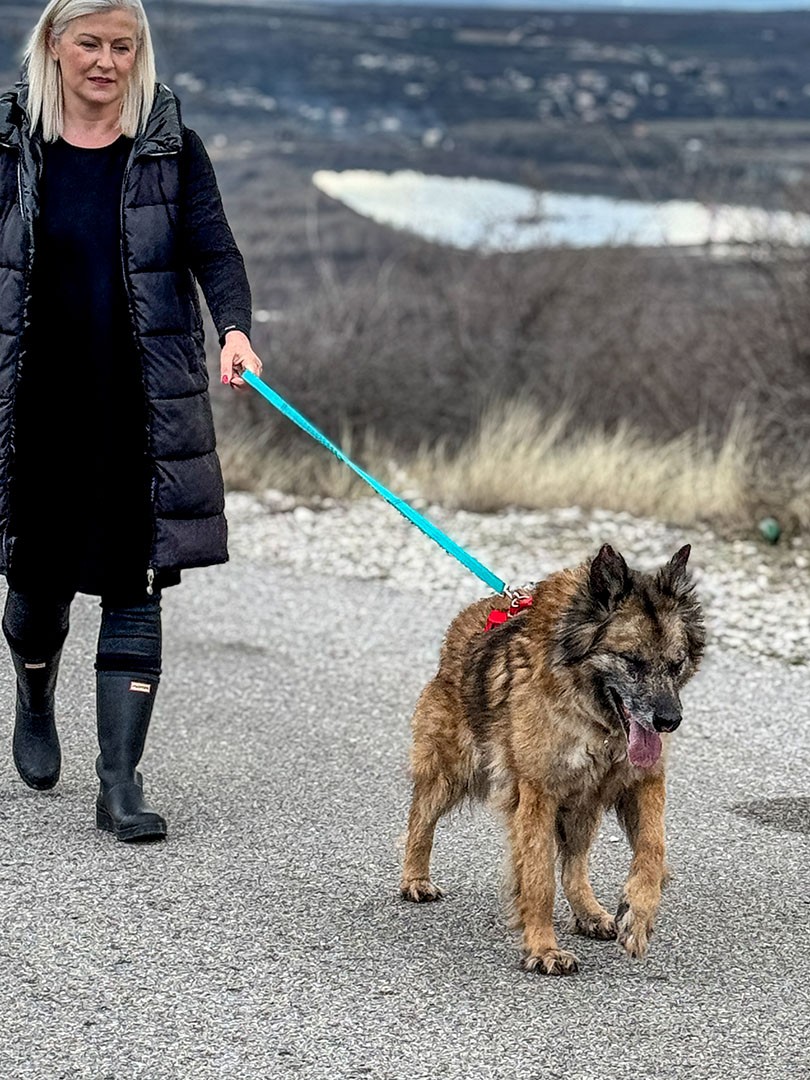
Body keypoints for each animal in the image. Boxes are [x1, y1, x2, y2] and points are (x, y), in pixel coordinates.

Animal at [400, 543, 705, 975]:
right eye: (631, 661)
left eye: (676, 664)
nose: (669, 721)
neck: (591, 715)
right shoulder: (537, 795)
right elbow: (539, 877)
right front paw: (543, 948)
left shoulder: (642, 782)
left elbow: (652, 848)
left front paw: (638, 914)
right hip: (450, 770)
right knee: (420, 820)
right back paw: (414, 879)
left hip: (582, 805)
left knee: (575, 864)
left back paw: (590, 913)